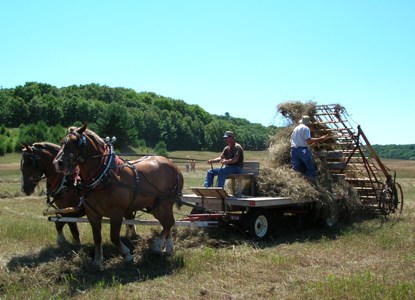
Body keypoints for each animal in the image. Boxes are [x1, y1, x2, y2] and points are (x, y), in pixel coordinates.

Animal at [52, 123, 183, 268]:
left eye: (76, 142)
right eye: (62, 142)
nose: (58, 163)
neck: (104, 176)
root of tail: (173, 165)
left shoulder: (117, 212)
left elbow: (114, 236)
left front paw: (127, 254)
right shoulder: (92, 213)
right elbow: (97, 237)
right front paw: (97, 261)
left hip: (166, 202)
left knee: (169, 223)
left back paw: (157, 245)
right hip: (156, 206)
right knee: (167, 223)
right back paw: (167, 247)